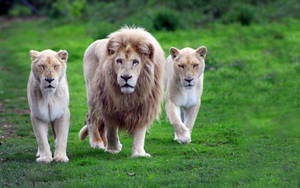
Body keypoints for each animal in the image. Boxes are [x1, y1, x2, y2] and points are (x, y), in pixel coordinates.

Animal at [79, 26, 164, 157]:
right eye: (119, 61)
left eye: (135, 61)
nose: (125, 77)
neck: (128, 96)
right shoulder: (109, 106)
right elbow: (112, 130)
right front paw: (113, 149)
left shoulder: (144, 106)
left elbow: (140, 133)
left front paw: (139, 154)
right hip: (92, 94)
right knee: (90, 118)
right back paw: (97, 143)